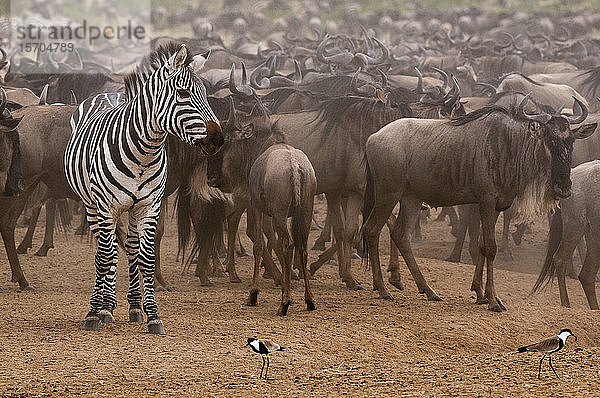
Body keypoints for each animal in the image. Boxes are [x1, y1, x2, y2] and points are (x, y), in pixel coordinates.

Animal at [64, 42, 225, 334]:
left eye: (206, 94)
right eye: (183, 93)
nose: (217, 140)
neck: (144, 153)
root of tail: (109, 93)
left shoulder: (150, 206)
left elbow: (145, 258)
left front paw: (152, 315)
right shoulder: (106, 206)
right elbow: (105, 258)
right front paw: (93, 313)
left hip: (130, 208)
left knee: (126, 245)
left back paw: (130, 306)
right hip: (92, 206)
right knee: (106, 251)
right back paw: (104, 306)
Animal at [360, 95, 596, 312]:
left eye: (570, 142)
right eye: (550, 140)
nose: (563, 188)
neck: (509, 147)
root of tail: (373, 137)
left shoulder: (497, 206)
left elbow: (482, 245)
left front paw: (481, 293)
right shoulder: (486, 201)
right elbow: (490, 247)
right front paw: (492, 300)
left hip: (411, 199)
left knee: (401, 235)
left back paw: (428, 290)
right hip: (388, 194)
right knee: (371, 229)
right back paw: (383, 289)